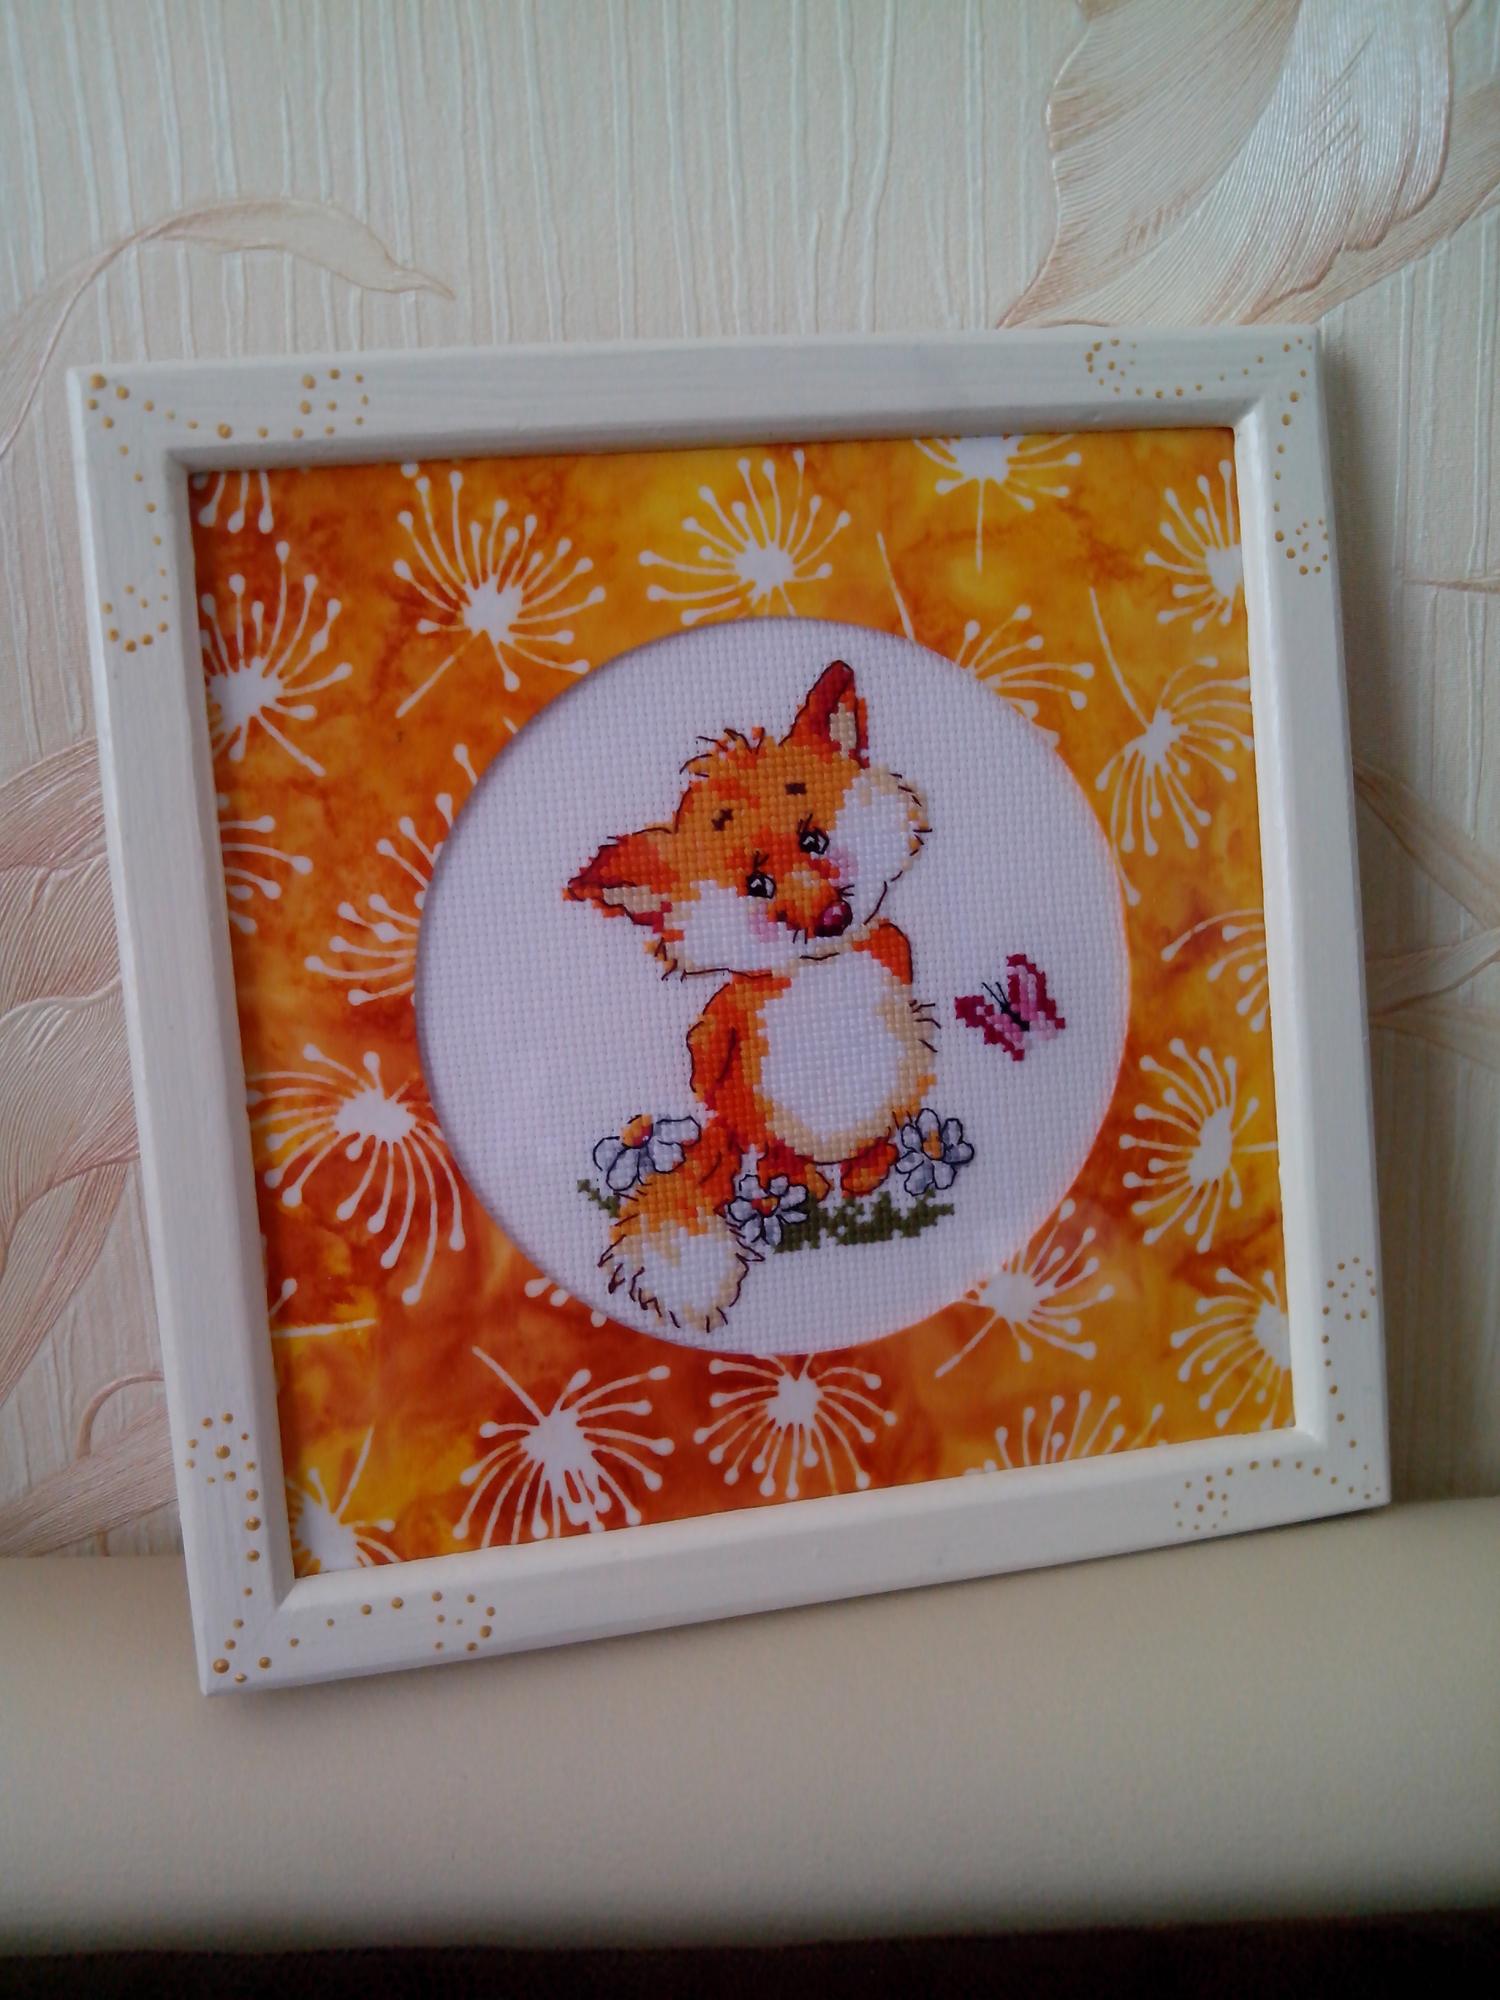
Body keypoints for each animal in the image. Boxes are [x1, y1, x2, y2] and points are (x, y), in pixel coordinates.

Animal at [567, 658, 936, 1334]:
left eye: (815, 841)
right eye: (757, 885)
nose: (835, 918)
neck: (817, 977)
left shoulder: (894, 956)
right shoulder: (721, 1030)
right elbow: (708, 1050)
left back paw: (865, 1171)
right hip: (749, 1113)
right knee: (772, 1150)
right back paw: (796, 1183)